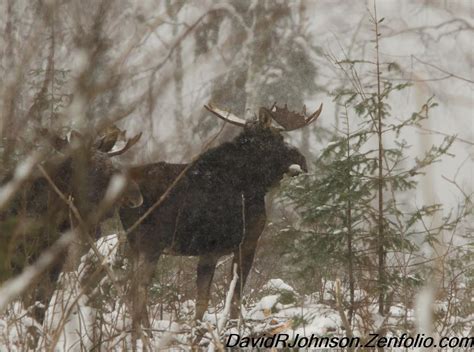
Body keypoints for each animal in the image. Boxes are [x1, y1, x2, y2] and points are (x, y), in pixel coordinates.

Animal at [120, 102, 324, 330]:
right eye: (279, 138)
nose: (302, 161)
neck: (254, 181)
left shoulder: (211, 251)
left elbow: (208, 297)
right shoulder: (244, 242)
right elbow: (231, 296)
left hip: (134, 244)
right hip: (151, 243)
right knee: (137, 288)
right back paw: (144, 332)